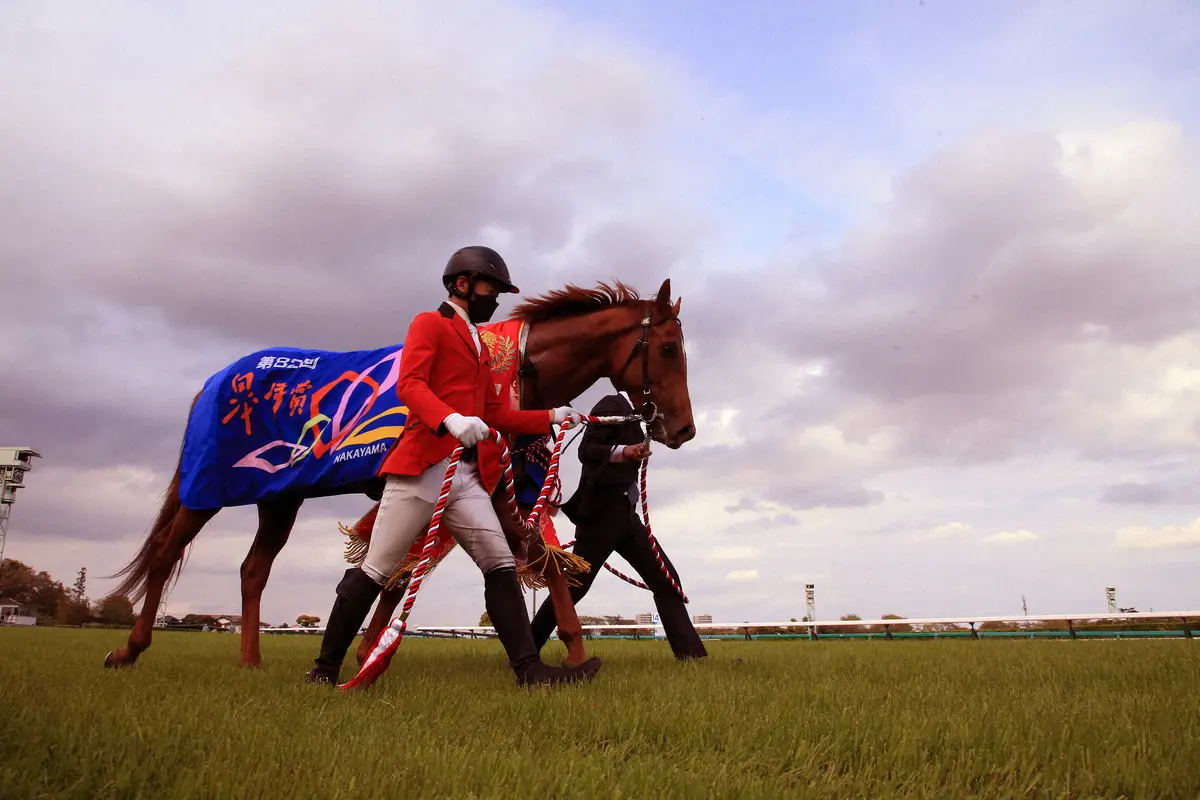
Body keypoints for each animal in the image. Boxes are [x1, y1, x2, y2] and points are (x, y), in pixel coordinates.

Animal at [108, 278, 700, 671]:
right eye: (669, 348)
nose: (684, 429)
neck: (515, 371)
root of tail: (217, 378)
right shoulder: (490, 486)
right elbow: (530, 565)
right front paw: (573, 655)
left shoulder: (489, 491)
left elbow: (419, 574)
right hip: (207, 489)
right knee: (164, 555)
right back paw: (130, 648)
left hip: (280, 495)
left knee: (254, 569)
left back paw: (250, 661)